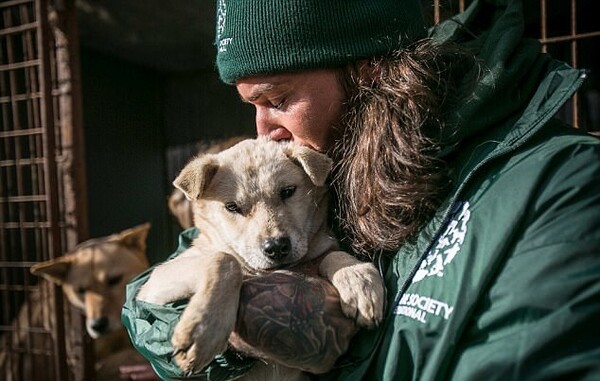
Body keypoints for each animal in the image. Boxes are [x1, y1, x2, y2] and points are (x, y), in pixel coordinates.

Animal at [137, 136, 384, 378]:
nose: (276, 247)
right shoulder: (153, 284)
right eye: (232, 207)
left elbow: (332, 254)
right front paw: (204, 330)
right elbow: (224, 259)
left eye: (287, 191)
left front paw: (358, 280)